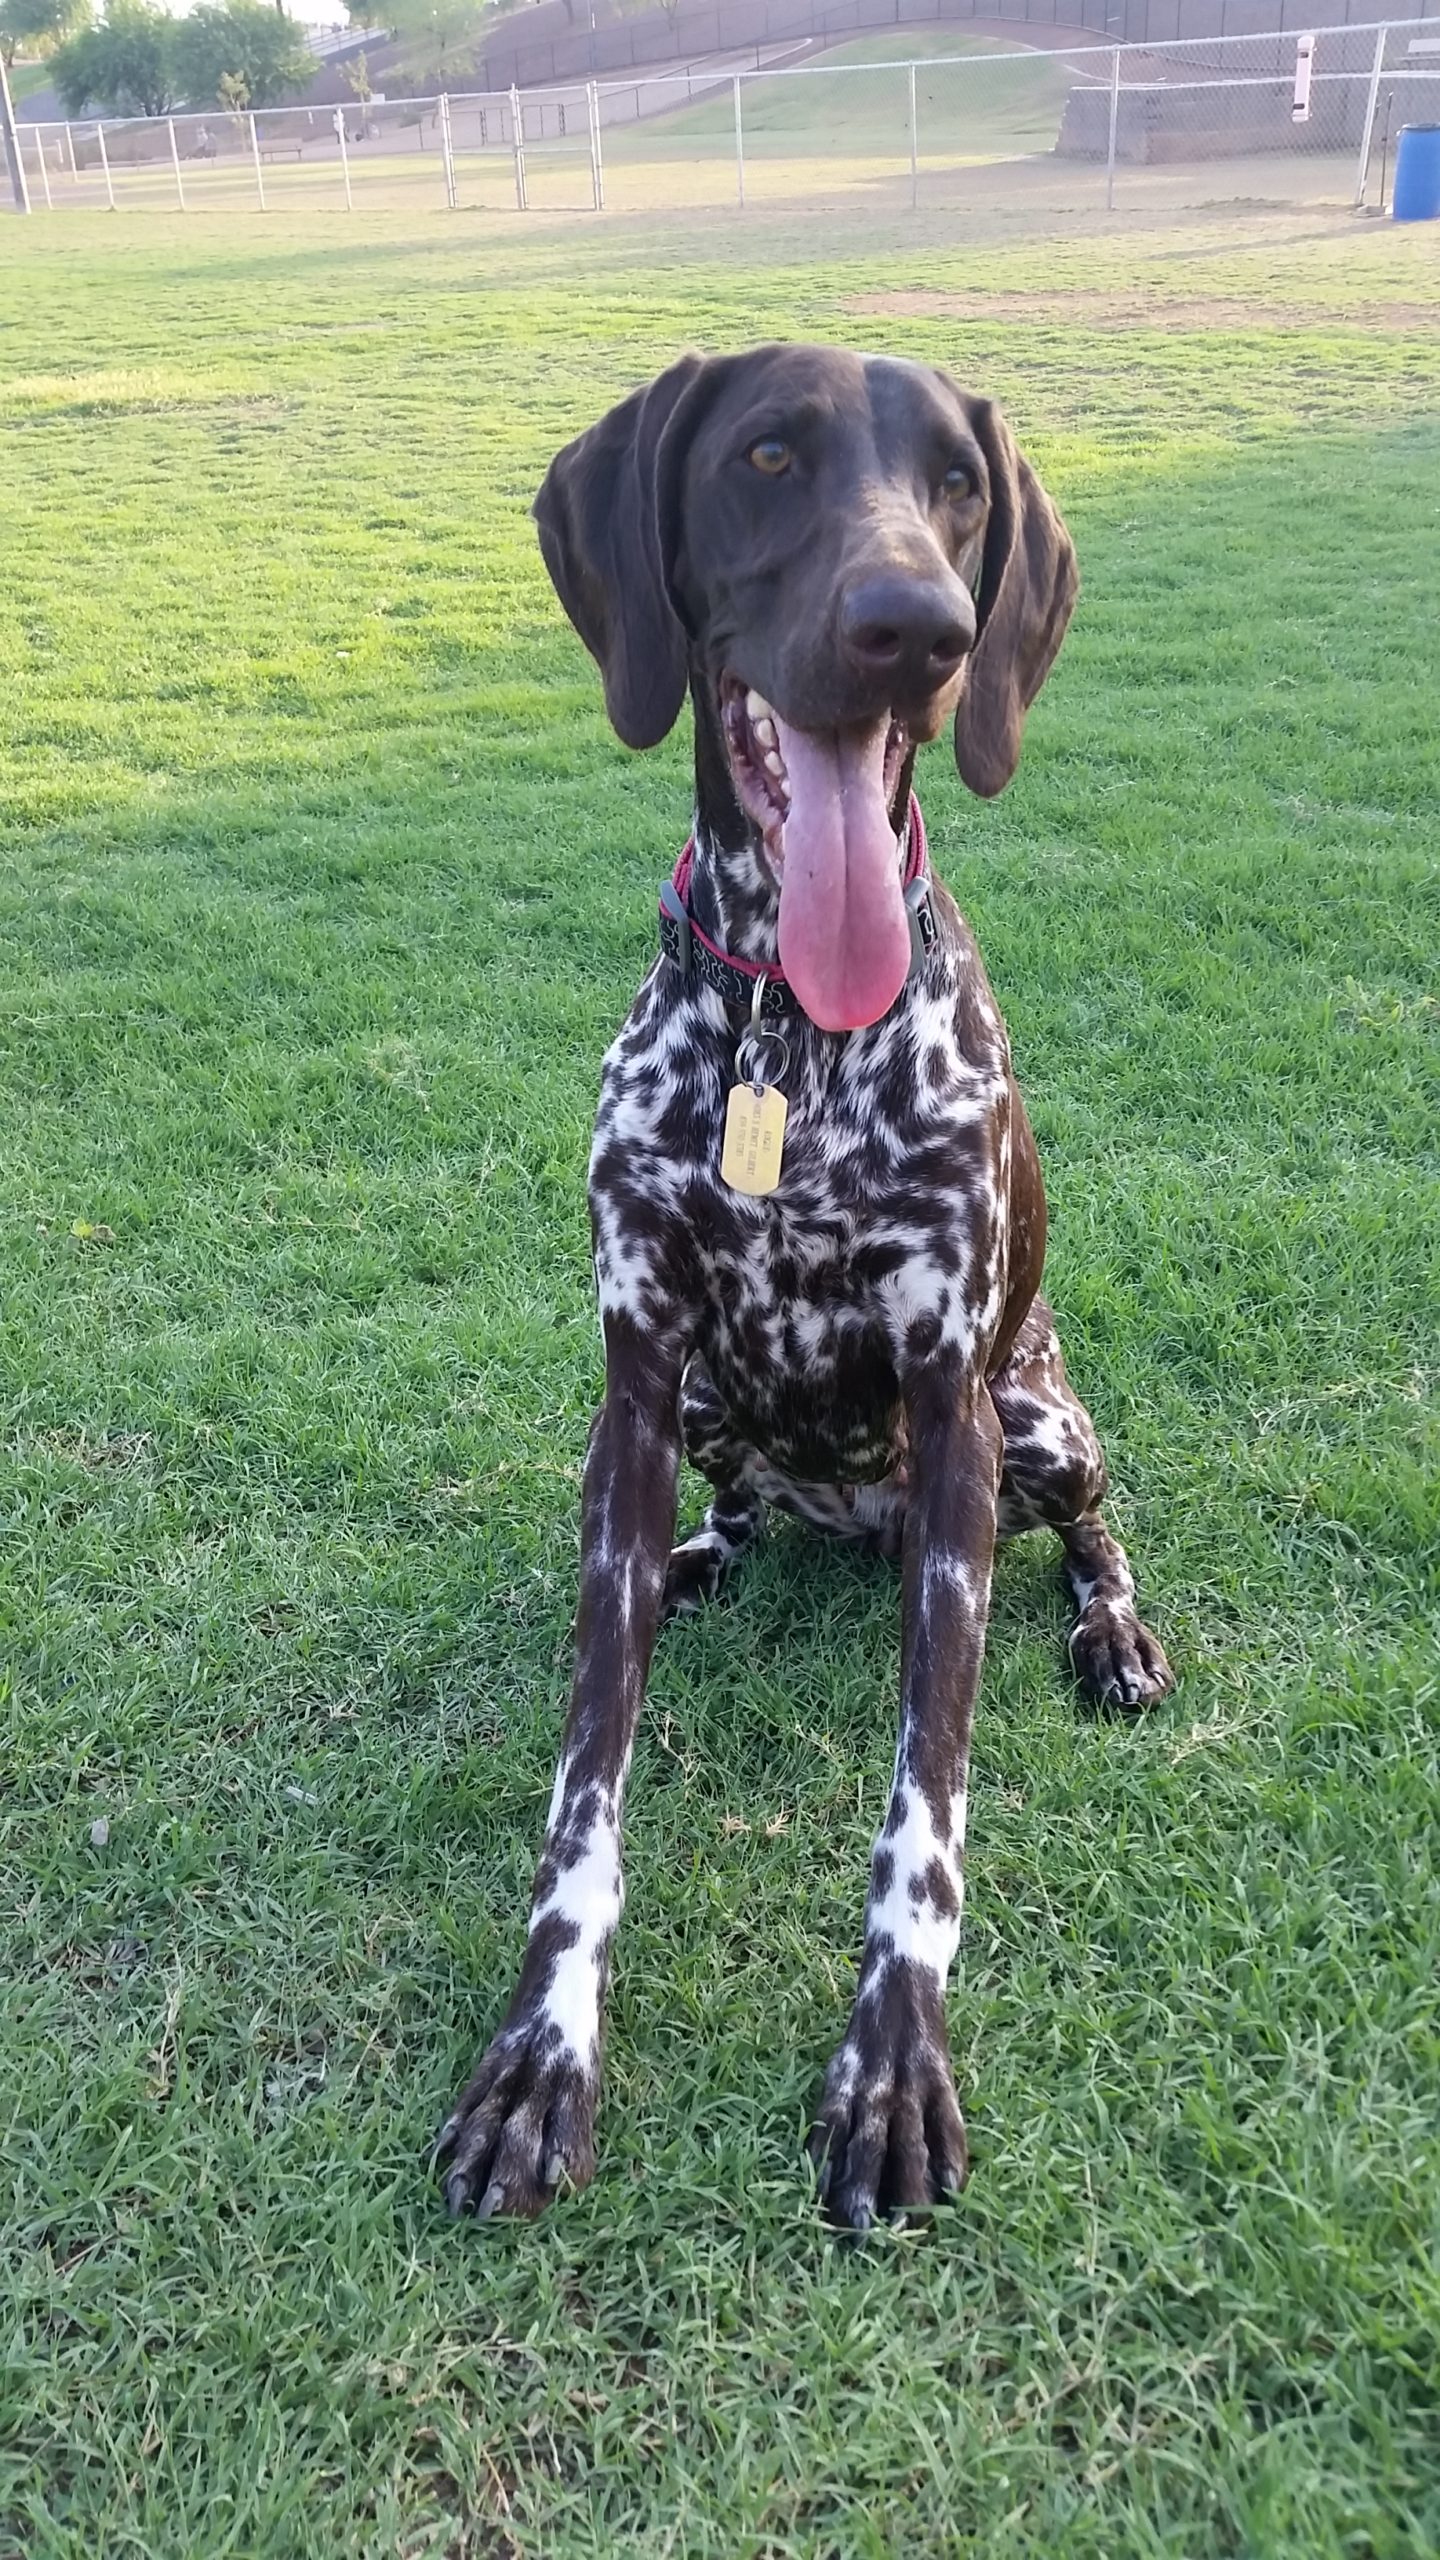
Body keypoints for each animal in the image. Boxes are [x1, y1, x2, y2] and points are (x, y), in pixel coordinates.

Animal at [430, 350, 1173, 2232]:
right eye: (770, 457)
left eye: (961, 492)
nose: (917, 629)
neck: (786, 1013)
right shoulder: (631, 1392)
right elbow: (586, 1793)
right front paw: (542, 2054)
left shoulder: (954, 1411)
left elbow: (926, 1812)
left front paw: (894, 2064)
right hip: (711, 1413)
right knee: (741, 1504)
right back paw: (718, 1553)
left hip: (1038, 1416)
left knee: (1097, 1520)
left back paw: (1116, 1628)